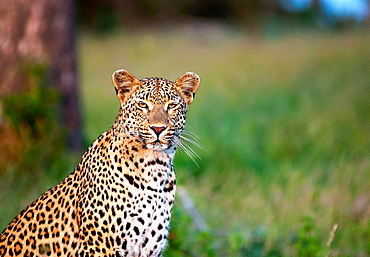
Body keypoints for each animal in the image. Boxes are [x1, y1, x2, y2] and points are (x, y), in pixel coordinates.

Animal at [0, 68, 199, 256]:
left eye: (171, 105)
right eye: (143, 105)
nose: (158, 128)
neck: (155, 166)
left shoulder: (149, 249)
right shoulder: (98, 246)